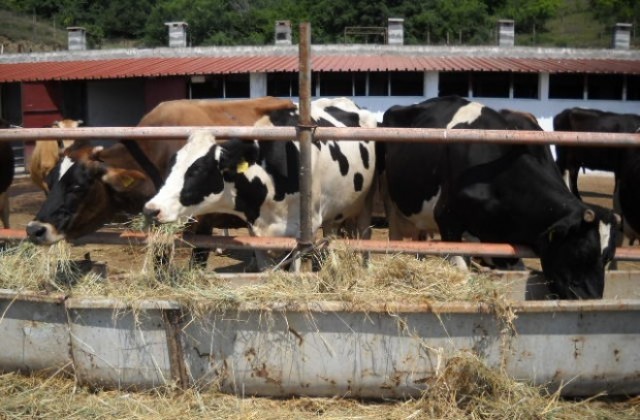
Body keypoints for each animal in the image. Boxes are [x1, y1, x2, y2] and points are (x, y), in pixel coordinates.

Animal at [142, 97, 378, 270]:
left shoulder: (303, 232)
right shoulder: (258, 231)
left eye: (198, 170)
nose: (151, 209)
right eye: (171, 166)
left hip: (366, 201)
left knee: (364, 233)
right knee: (330, 234)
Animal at [380, 95, 620, 298]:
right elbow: (461, 267)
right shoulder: (446, 217)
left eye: (607, 257)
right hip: (392, 201)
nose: (590, 299)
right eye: (581, 252)